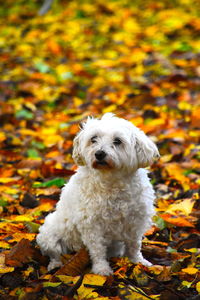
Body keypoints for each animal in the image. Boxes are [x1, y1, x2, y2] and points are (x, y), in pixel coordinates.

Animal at [36, 113, 159, 276]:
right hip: (49, 234)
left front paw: (137, 261)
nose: (99, 153)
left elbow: (134, 245)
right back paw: (55, 266)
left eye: (117, 141)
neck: (111, 180)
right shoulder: (91, 224)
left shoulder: (135, 221)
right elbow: (97, 249)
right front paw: (101, 269)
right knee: (54, 253)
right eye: (93, 139)